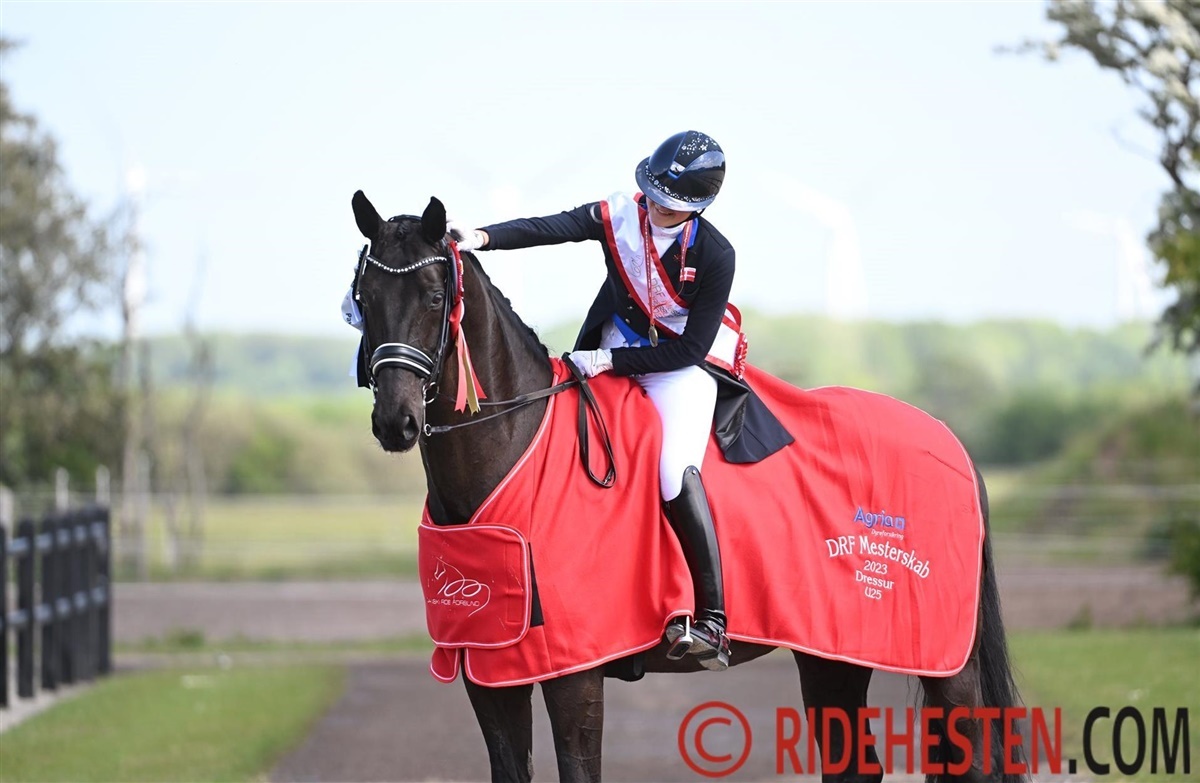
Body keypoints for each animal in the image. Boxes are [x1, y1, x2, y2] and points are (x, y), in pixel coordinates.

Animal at [347, 190, 1024, 783]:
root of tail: (950, 442)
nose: (395, 421)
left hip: (947, 666)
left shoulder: (575, 671)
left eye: (436, 296)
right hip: (833, 652)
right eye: (363, 296)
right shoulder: (490, 670)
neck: (515, 450)